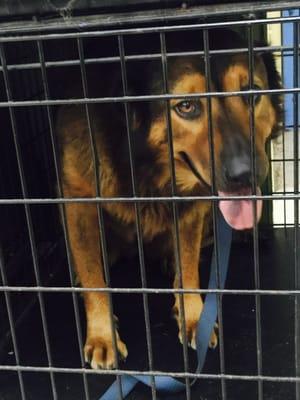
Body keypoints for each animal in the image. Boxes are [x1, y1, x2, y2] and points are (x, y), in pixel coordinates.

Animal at [55, 28, 282, 368]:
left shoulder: (191, 209)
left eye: (252, 92)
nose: (245, 174)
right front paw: (102, 335)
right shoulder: (78, 202)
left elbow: (187, 267)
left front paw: (195, 318)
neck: (146, 165)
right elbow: (95, 278)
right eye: (186, 106)